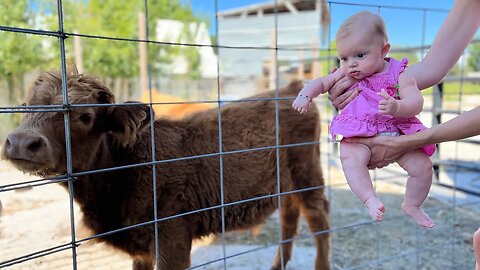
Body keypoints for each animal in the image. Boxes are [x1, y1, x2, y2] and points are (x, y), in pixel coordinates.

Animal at [0, 70, 330, 268]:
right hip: (287, 183)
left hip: (308, 174)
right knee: (290, 217)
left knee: (319, 222)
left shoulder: (172, 237)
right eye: (25, 107)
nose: (22, 142)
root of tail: (288, 89)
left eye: (86, 116)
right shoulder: (143, 249)